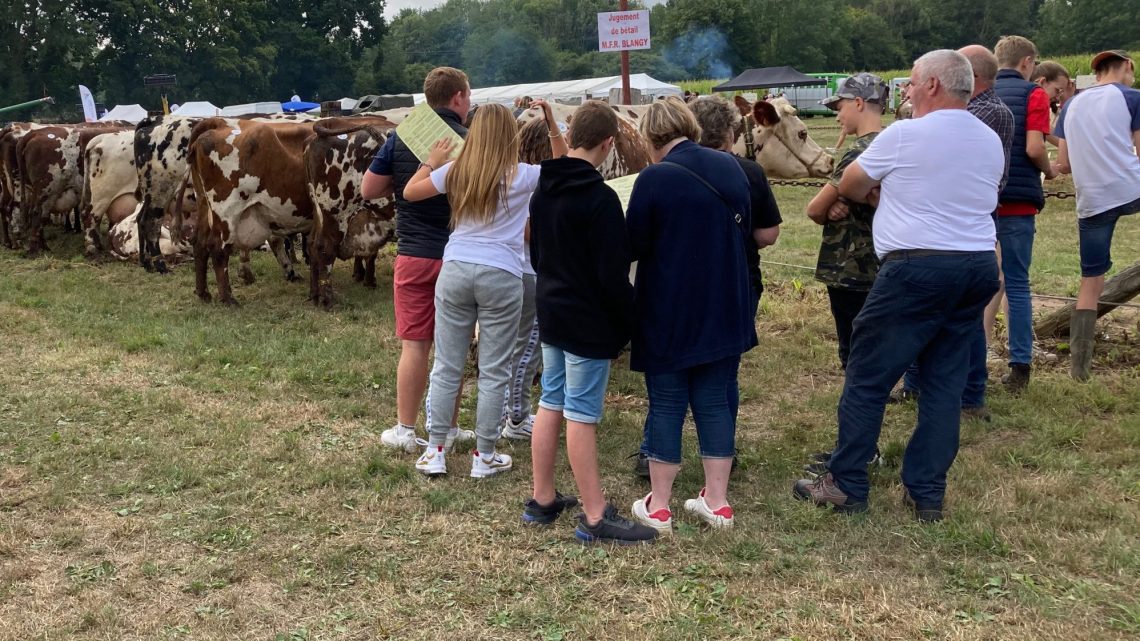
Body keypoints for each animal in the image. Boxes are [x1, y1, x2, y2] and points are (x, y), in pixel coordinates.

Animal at [305, 116, 399, 307]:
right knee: (324, 248)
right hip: (336, 214)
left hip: (319, 214)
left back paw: (315, 295)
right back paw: (328, 300)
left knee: (312, 244)